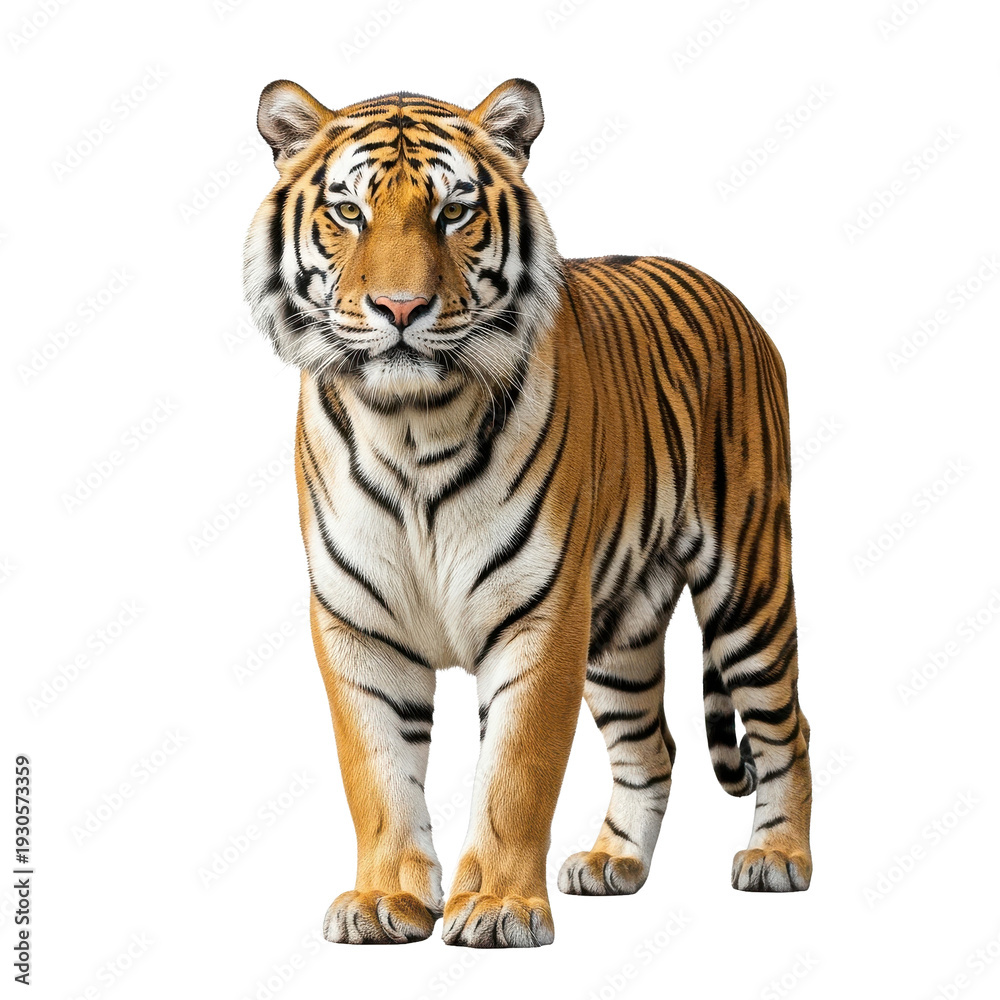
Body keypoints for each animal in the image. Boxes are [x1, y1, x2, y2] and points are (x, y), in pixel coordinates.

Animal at [243, 77, 812, 948]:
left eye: (454, 211)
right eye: (348, 211)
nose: (400, 307)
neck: (410, 423)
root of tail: (728, 295)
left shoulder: (541, 614)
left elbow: (516, 773)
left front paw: (499, 908)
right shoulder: (358, 622)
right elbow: (376, 775)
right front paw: (384, 901)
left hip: (749, 584)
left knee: (787, 725)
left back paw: (778, 857)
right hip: (620, 630)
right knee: (652, 746)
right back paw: (614, 863)